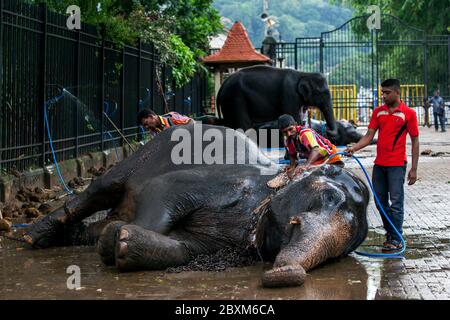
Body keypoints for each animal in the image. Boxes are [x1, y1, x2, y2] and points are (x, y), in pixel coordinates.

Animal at [24, 124, 370, 286]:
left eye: (341, 253)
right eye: (327, 198)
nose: (282, 270)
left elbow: (185, 248)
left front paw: (122, 242)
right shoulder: (219, 182)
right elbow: (161, 190)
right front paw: (115, 241)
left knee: (96, 224)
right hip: (142, 154)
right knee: (99, 189)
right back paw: (32, 236)